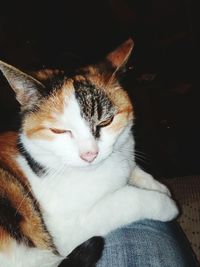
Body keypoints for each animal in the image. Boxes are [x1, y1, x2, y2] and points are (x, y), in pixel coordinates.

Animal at [0, 38, 178, 267]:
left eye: (106, 121)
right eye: (59, 131)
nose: (89, 155)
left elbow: (134, 169)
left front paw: (156, 185)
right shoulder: (68, 227)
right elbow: (129, 198)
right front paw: (167, 205)